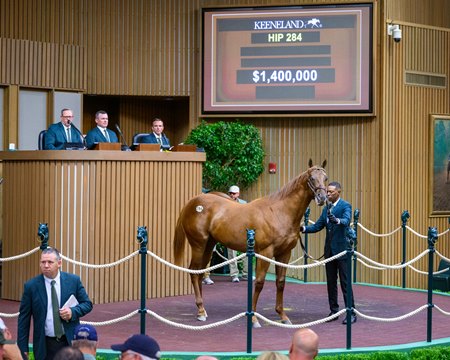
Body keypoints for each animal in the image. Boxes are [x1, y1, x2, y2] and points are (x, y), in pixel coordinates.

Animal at [173, 160, 326, 326]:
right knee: (193, 272)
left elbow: (280, 282)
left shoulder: (284, 253)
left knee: (200, 272)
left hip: (209, 245)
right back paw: (201, 311)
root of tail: (192, 202)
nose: (322, 198)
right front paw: (253, 318)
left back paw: (202, 309)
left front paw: (283, 316)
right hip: (198, 245)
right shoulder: (265, 253)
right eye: (312, 178)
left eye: (325, 178)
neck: (279, 212)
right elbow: (259, 283)